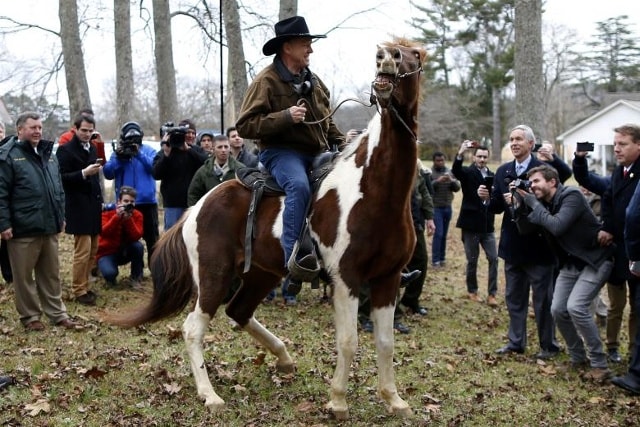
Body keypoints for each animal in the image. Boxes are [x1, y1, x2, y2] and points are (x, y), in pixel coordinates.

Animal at [111, 40, 424, 422]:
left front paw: (394, 400)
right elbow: (349, 340)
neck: (375, 189)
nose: (385, 58)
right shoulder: (347, 278)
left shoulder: (388, 279)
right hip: (214, 276)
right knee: (194, 328)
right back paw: (210, 394)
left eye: (416, 54)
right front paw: (337, 401)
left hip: (261, 273)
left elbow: (386, 342)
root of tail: (196, 209)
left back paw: (284, 359)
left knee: (239, 311)